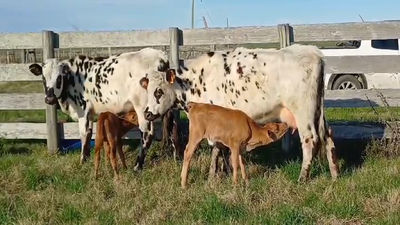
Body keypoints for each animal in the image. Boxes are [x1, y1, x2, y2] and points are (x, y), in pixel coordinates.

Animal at [27, 48, 179, 171]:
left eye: (59, 77)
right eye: (43, 77)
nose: (49, 99)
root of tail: (160, 55)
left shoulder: (82, 110)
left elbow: (83, 134)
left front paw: (82, 161)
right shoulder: (89, 113)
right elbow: (89, 133)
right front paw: (86, 158)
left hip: (142, 108)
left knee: (147, 134)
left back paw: (137, 166)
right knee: (172, 127)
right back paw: (176, 158)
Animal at [139, 44, 340, 183]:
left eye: (159, 91)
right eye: (147, 90)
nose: (147, 114)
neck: (196, 82)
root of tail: (312, 52)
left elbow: (217, 148)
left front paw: (213, 175)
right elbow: (221, 148)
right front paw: (222, 172)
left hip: (304, 111)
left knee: (310, 139)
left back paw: (302, 178)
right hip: (318, 111)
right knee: (327, 135)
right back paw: (334, 174)